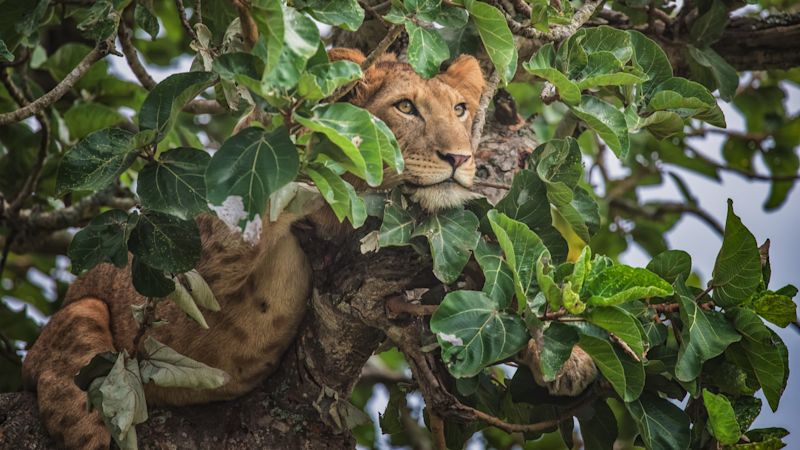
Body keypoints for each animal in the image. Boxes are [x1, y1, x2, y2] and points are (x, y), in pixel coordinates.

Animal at [21, 47, 592, 448]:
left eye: (460, 109)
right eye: (406, 107)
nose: (459, 158)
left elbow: (492, 289)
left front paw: (570, 359)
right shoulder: (194, 272)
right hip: (83, 321)